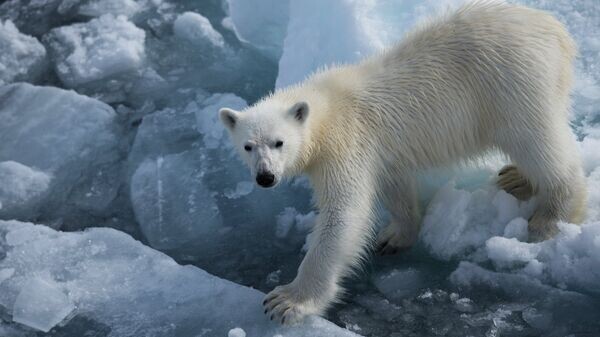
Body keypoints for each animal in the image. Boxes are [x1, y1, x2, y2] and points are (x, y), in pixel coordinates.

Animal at [217, 1, 584, 324]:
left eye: (279, 142)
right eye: (248, 146)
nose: (265, 177)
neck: (325, 109)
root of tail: (556, 31)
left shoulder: (346, 144)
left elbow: (344, 214)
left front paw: (287, 302)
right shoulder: (380, 153)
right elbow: (394, 186)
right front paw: (394, 236)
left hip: (514, 85)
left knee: (538, 144)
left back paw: (550, 215)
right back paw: (516, 178)